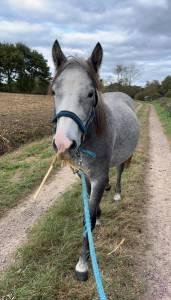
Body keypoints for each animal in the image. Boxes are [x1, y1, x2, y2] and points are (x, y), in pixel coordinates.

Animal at [51, 39, 140, 282]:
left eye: (91, 93)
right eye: (54, 91)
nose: (63, 143)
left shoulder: (99, 175)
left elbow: (87, 216)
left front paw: (82, 264)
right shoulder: (86, 175)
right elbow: (90, 209)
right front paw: (98, 218)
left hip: (122, 158)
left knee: (119, 171)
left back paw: (116, 192)